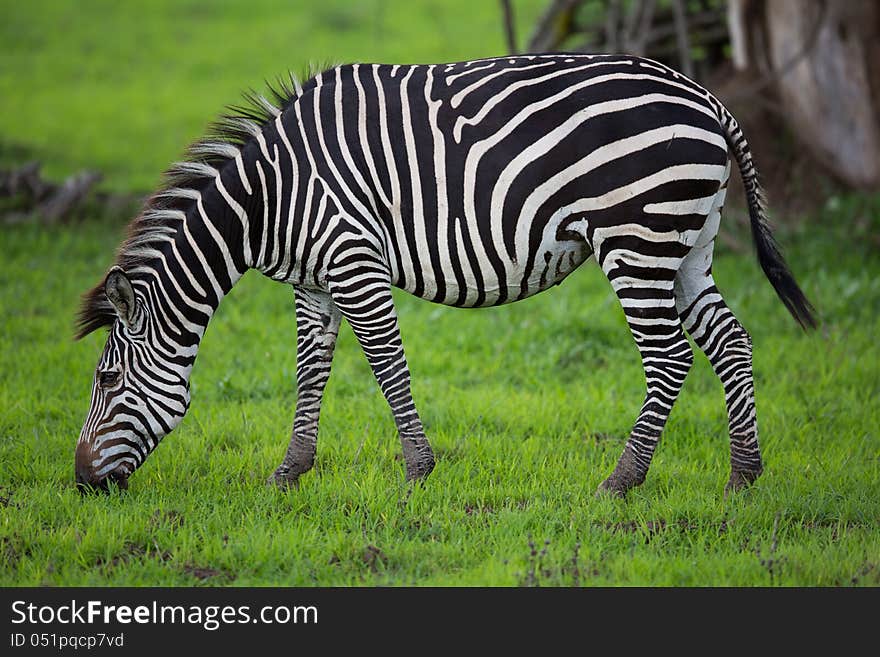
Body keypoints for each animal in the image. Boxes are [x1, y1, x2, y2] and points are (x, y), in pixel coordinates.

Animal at [72, 53, 816, 498]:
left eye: (105, 380)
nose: (80, 483)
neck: (270, 198)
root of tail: (706, 97)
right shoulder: (314, 280)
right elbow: (310, 372)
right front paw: (290, 471)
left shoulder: (352, 259)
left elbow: (386, 365)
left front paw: (417, 471)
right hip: (686, 244)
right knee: (730, 342)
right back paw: (743, 476)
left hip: (636, 239)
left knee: (668, 357)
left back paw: (620, 481)